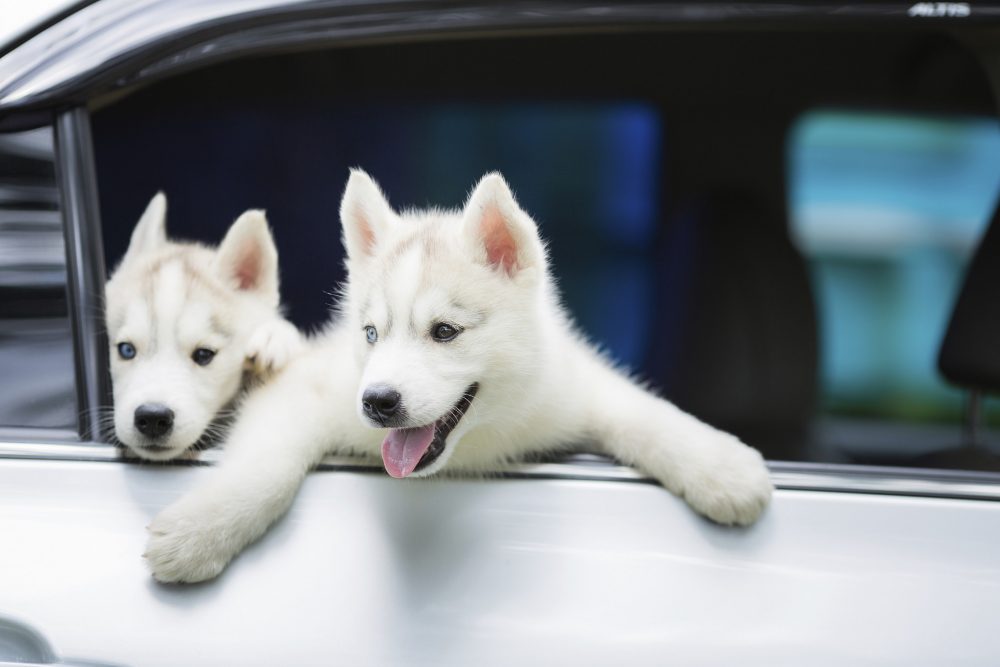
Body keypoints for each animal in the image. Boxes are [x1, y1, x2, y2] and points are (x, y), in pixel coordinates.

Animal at [146, 172, 772, 584]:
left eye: (444, 331)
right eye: (370, 333)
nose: (376, 402)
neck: (479, 440)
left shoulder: (571, 385)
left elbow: (646, 413)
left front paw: (722, 466)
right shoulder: (306, 390)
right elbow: (266, 470)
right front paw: (200, 531)